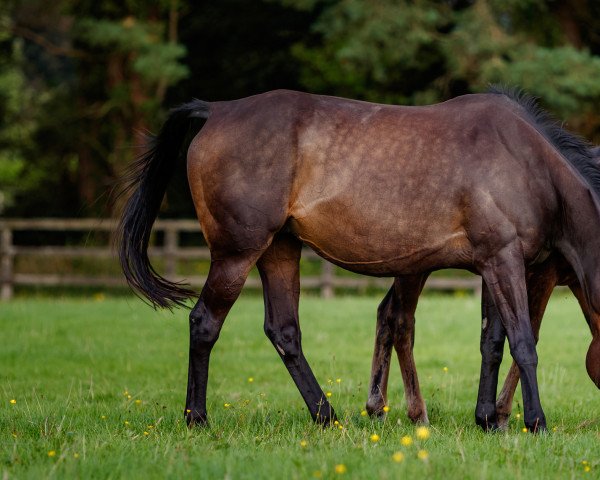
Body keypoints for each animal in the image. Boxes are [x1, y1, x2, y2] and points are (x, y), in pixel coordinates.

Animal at [366, 143, 600, 432]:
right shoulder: (543, 272)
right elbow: (530, 334)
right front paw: (503, 413)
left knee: (385, 311)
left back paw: (377, 406)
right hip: (413, 264)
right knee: (400, 319)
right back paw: (416, 412)